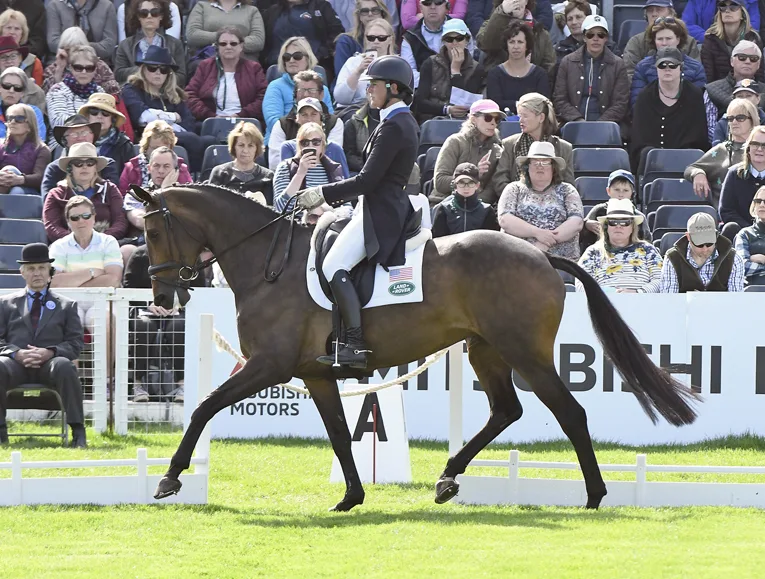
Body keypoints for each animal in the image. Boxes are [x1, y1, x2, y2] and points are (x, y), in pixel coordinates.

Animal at [131, 182, 700, 512]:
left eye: (154, 231)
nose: (161, 295)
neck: (268, 265)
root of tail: (542, 257)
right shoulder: (314, 373)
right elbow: (339, 435)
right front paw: (351, 496)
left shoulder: (268, 364)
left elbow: (203, 407)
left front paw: (169, 479)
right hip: (486, 349)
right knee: (506, 410)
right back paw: (447, 479)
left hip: (524, 353)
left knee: (570, 412)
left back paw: (594, 496)